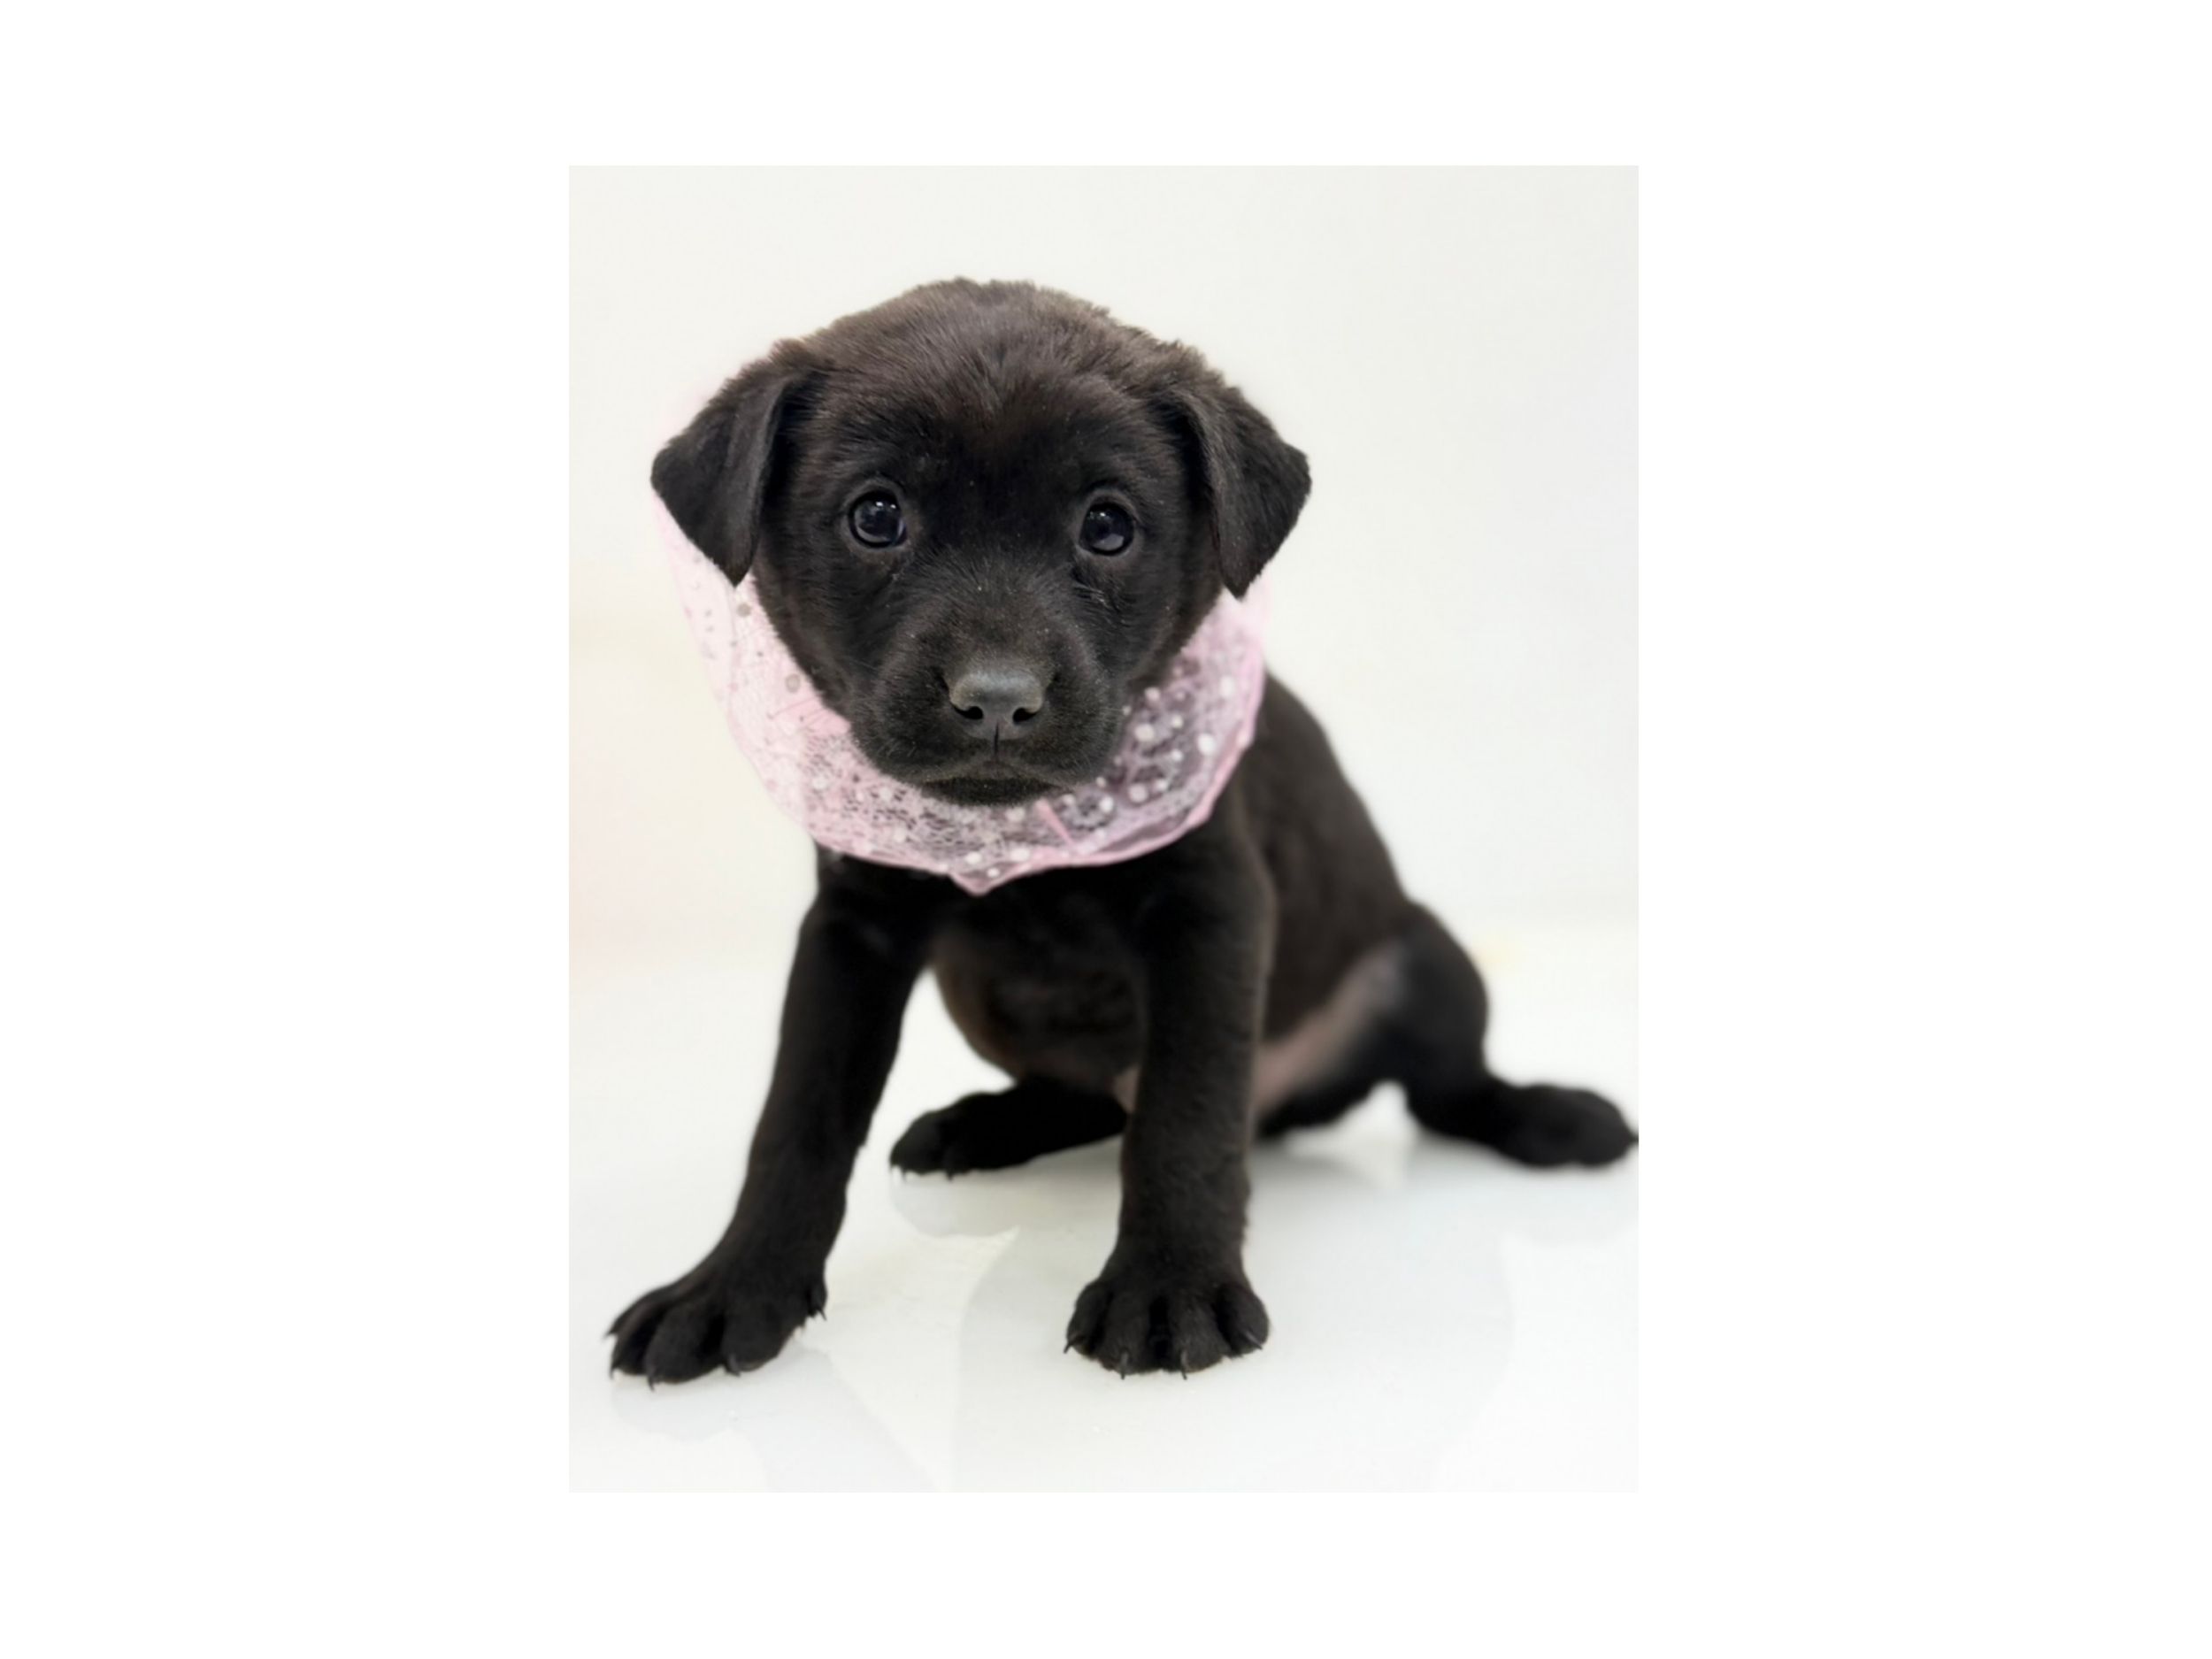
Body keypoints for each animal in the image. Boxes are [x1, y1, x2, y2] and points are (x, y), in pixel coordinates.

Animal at [610, 279, 1636, 1383]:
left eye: (1107, 526)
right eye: (876, 515)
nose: (998, 699)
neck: (1025, 835)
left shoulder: (1211, 910)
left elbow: (1185, 1116)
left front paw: (1169, 1288)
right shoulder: (854, 926)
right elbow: (796, 1117)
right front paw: (731, 1289)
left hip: (1432, 963)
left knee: (1442, 1090)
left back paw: (1549, 1115)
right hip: (982, 999)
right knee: (1094, 1095)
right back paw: (985, 1123)